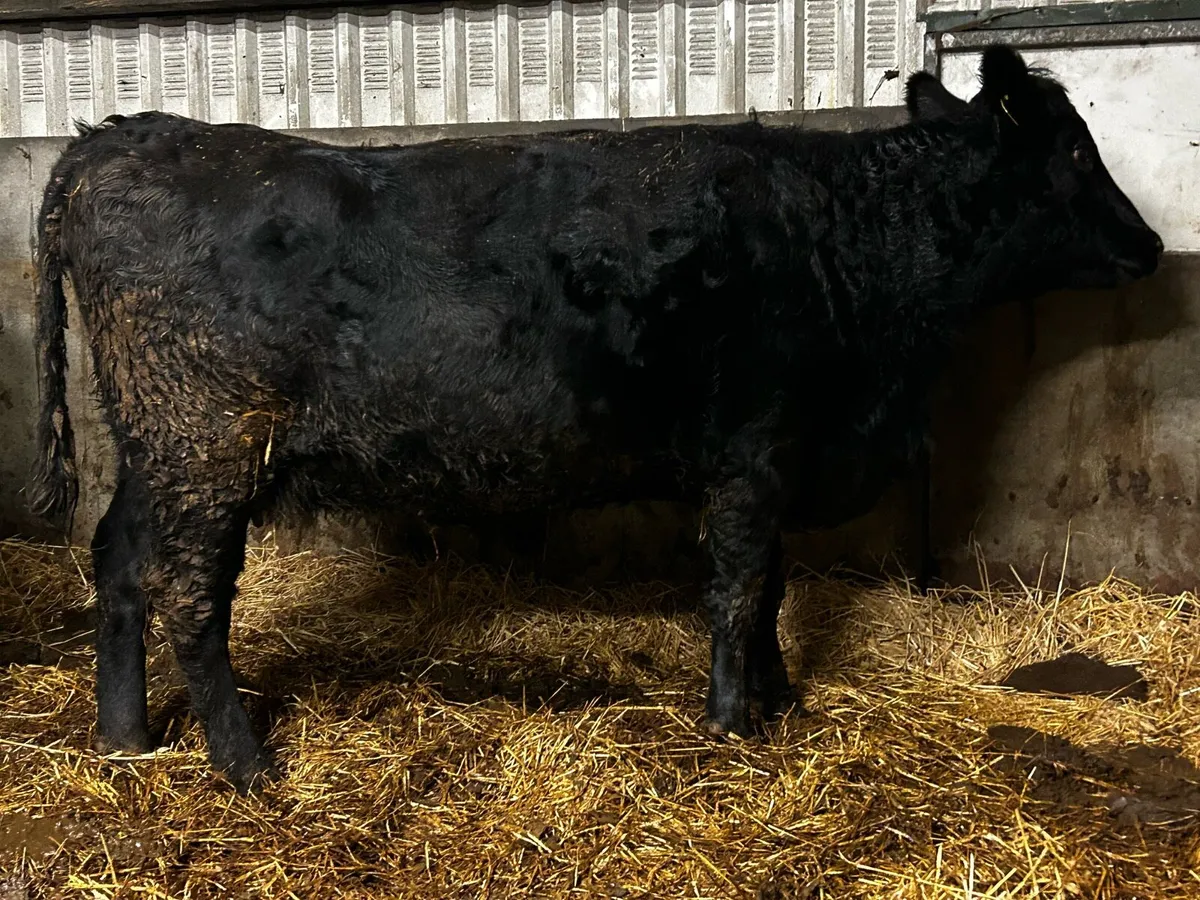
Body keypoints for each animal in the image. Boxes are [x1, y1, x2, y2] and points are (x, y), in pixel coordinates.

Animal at [29, 45, 1161, 793]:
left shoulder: (772, 459)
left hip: (158, 452)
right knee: (187, 595)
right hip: (207, 446)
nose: (1152, 246)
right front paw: (731, 723)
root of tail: (120, 137)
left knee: (117, 561)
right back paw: (245, 762)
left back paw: (127, 738)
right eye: (1072, 155)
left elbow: (770, 587)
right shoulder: (755, 454)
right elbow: (740, 588)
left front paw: (779, 700)